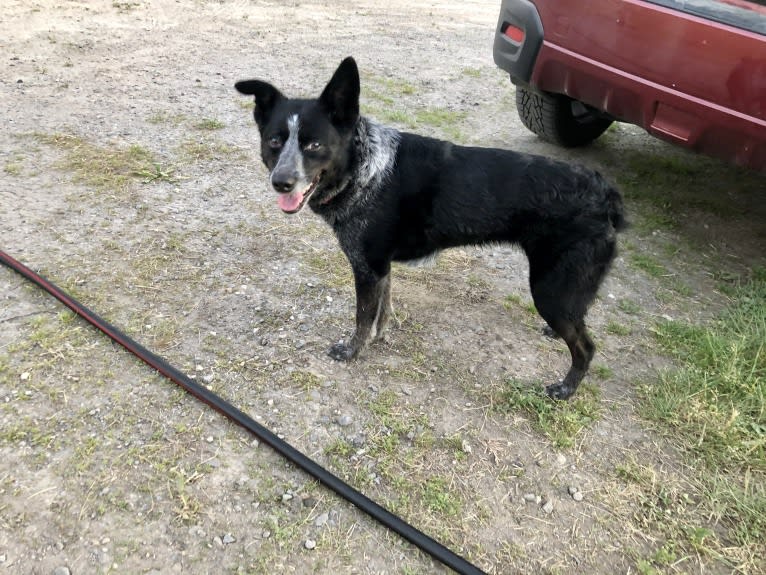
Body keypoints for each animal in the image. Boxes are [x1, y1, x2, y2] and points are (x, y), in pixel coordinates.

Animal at [237, 58, 628, 400]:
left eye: (314, 144)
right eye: (275, 141)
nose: (281, 182)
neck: (363, 167)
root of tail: (604, 193)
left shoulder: (367, 268)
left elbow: (362, 319)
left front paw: (353, 351)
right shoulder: (379, 268)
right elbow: (382, 311)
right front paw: (380, 338)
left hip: (550, 290)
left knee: (586, 347)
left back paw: (565, 389)